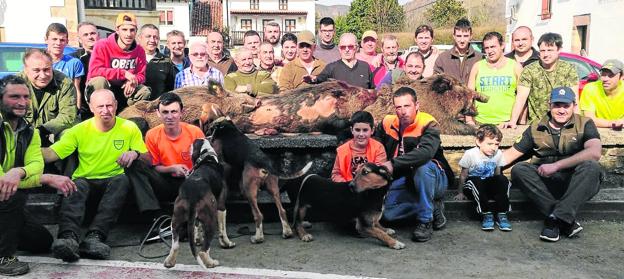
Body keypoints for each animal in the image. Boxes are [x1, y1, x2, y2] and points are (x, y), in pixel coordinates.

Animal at [163, 139, 227, 270]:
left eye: (193, 144)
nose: (188, 146)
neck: (207, 158)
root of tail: (193, 194)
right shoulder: (221, 207)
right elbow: (223, 229)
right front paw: (227, 243)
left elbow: (197, 226)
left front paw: (197, 239)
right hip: (211, 220)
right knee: (203, 251)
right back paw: (211, 263)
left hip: (175, 220)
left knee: (175, 245)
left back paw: (169, 262)